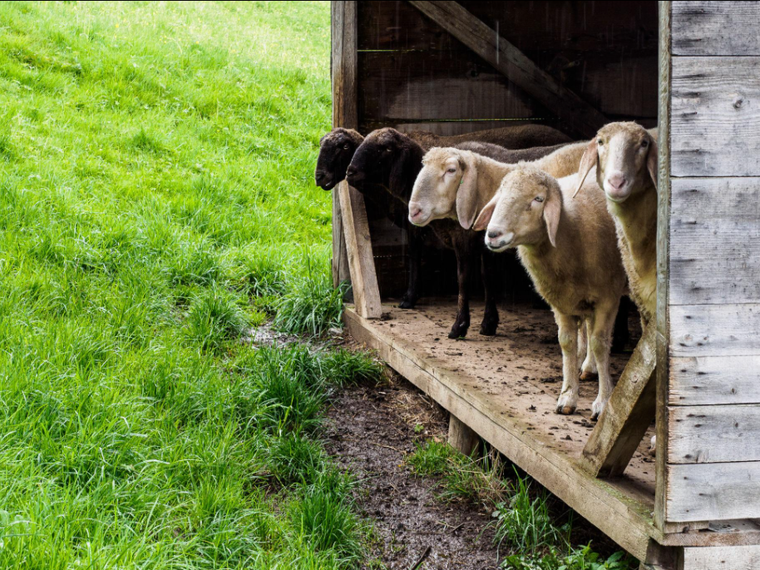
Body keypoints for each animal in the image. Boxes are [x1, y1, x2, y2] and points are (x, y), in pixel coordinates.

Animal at [473, 166, 628, 419]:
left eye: (538, 199)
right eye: (500, 195)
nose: (493, 234)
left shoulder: (608, 297)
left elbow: (600, 343)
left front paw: (603, 402)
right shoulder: (561, 301)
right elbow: (567, 343)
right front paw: (568, 396)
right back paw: (588, 367)